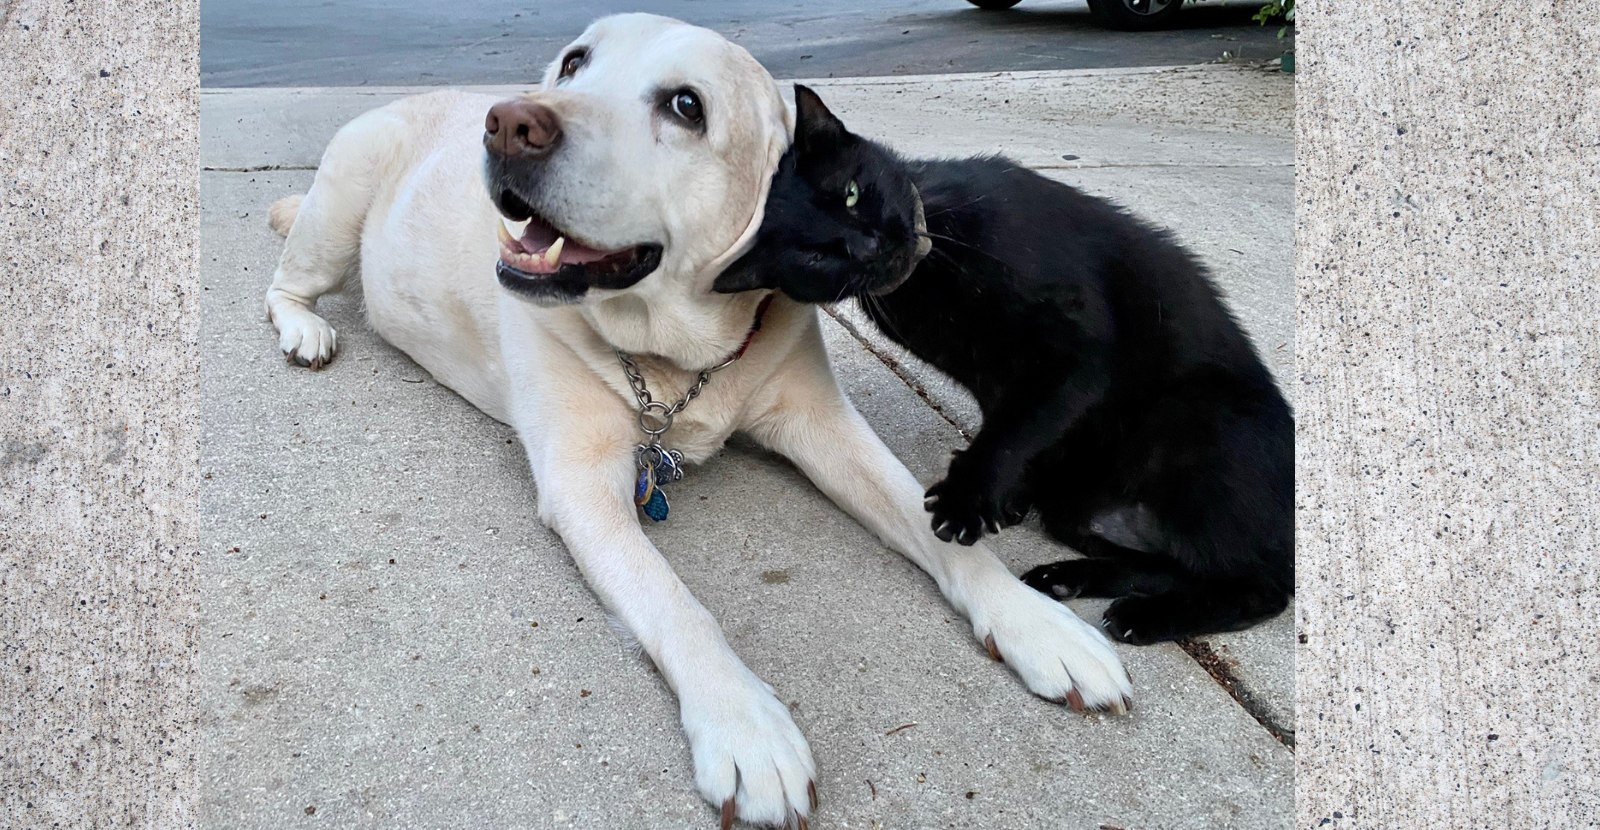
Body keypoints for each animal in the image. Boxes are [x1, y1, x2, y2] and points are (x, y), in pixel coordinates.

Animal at [265, 14, 1126, 830]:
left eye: (686, 107)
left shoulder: (823, 423)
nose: (508, 123)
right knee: (285, 282)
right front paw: (744, 723)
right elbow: (679, 604)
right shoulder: (585, 488)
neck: (679, 360)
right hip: (337, 208)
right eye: (574, 63)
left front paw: (1038, 624)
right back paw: (303, 328)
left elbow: (930, 521)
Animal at [720, 84, 1292, 646]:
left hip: (1193, 425)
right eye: (813, 256)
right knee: (1180, 567)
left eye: (852, 193)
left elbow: (1016, 429)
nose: (868, 245)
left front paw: (970, 497)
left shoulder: (1074, 354)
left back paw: (1146, 616)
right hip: (1076, 508)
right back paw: (1070, 579)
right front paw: (1004, 496)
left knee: (1259, 587)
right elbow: (1015, 425)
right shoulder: (994, 379)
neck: (931, 272)